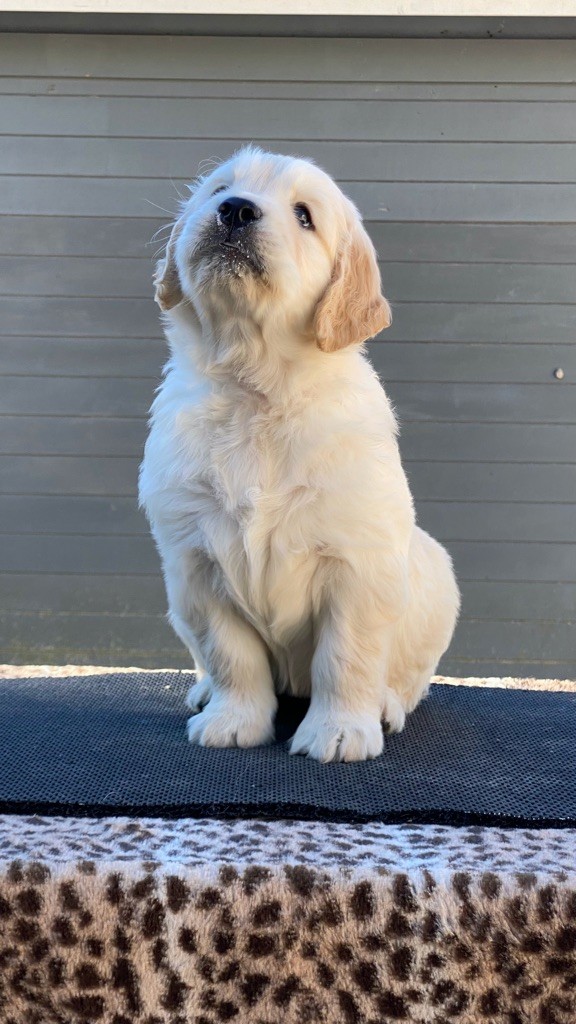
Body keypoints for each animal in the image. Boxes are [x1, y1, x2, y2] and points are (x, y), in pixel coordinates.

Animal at [139, 149, 457, 761]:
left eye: (305, 215)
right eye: (220, 189)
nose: (235, 210)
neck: (257, 393)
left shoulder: (358, 564)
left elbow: (346, 655)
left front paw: (339, 730)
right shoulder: (196, 564)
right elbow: (230, 653)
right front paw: (233, 719)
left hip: (435, 578)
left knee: (408, 677)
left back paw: (386, 705)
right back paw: (205, 694)